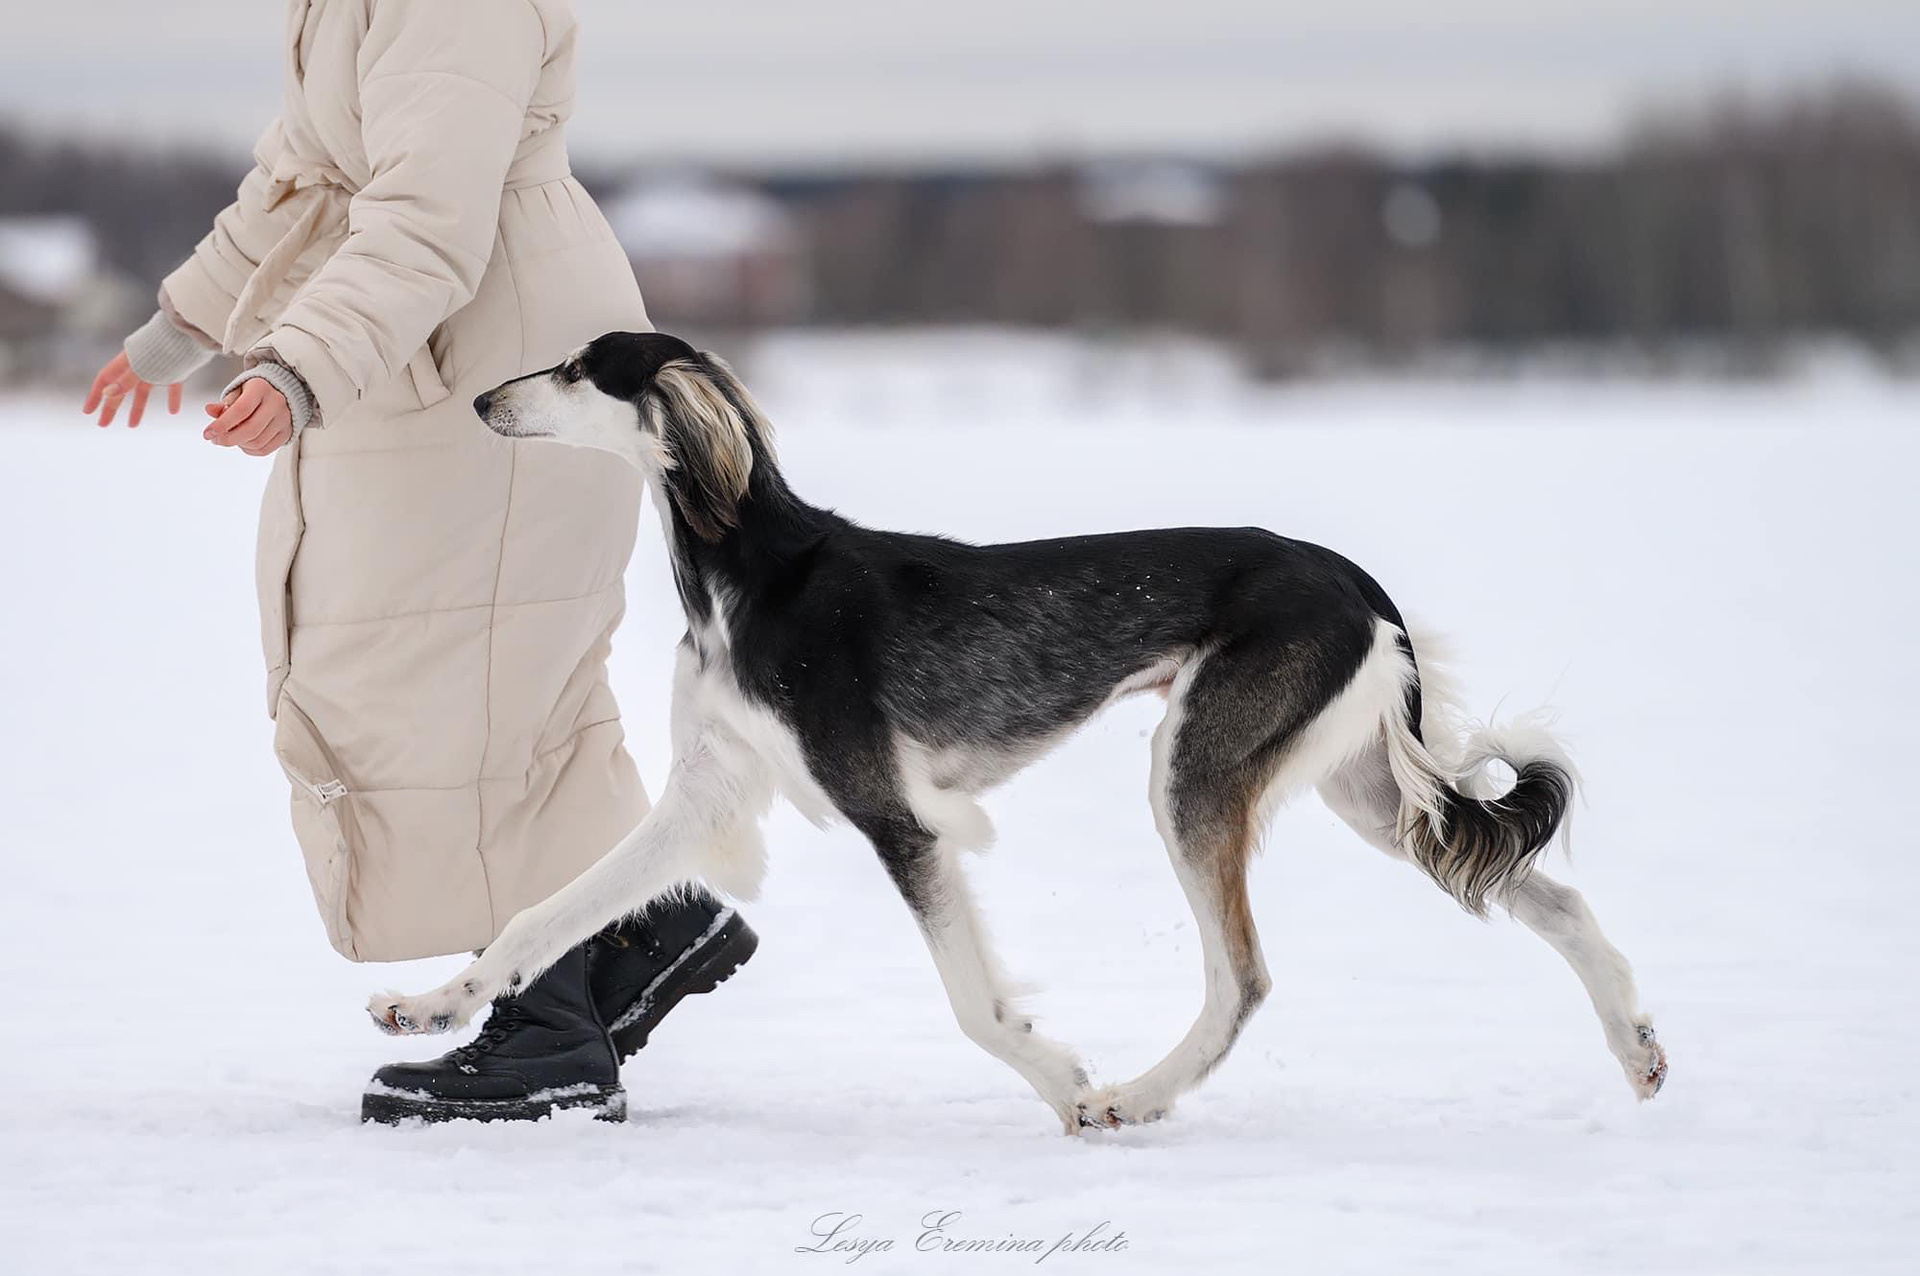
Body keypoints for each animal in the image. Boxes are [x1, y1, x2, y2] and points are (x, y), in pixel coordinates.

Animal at [374, 333, 1666, 1128]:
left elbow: (971, 1000)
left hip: (1195, 770)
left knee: (1242, 976)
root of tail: (1354, 578)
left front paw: (1058, 1075)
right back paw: (1637, 1042)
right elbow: (545, 913)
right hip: (1361, 788)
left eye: (580, 366)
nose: (483, 397)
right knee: (1548, 893)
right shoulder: (707, 792)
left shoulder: (896, 815)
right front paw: (436, 1001)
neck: (749, 567)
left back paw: (1137, 1094)